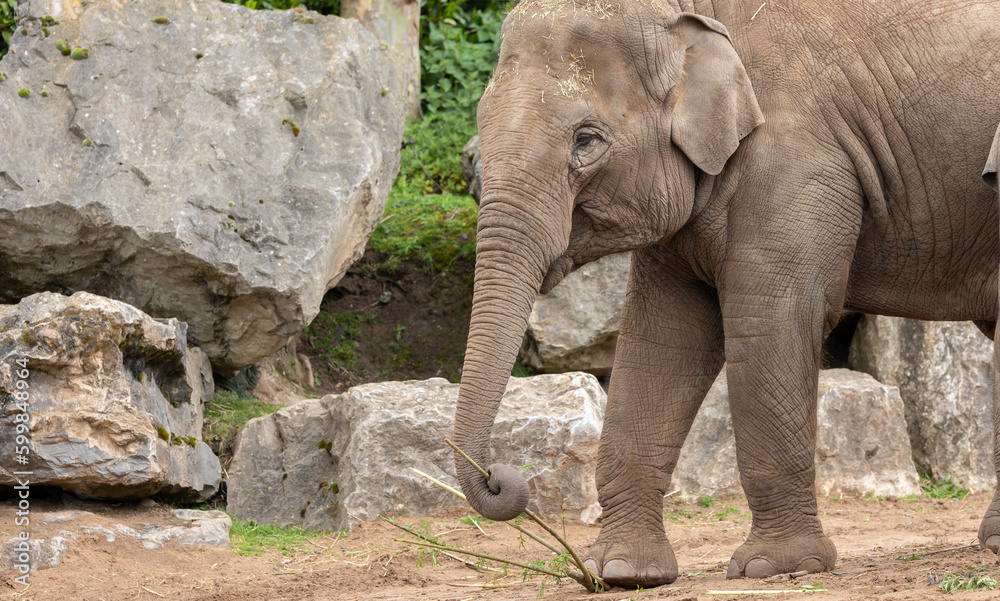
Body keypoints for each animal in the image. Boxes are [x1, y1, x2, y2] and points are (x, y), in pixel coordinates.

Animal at [451, 0, 1000, 588]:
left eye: (586, 140)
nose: (501, 477)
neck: (690, 17)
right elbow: (663, 340)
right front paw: (619, 572)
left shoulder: (794, 158)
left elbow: (769, 324)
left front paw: (775, 567)